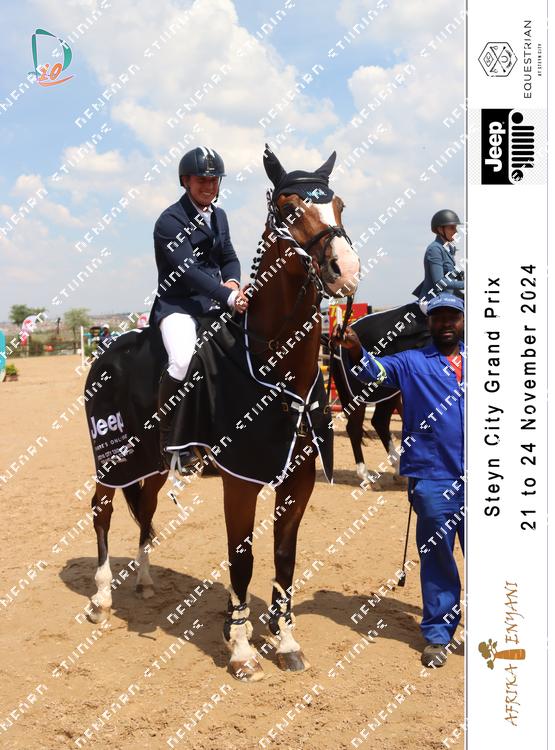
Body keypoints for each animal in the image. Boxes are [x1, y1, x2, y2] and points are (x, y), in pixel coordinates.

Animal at [83, 146, 360, 683]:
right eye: (289, 209)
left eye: (338, 204)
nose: (346, 269)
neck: (271, 363)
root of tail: (106, 350)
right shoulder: (241, 479)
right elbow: (242, 560)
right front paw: (242, 649)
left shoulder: (298, 479)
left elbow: (284, 557)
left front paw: (286, 640)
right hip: (113, 458)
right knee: (102, 511)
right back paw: (102, 599)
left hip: (152, 465)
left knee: (145, 512)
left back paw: (144, 582)